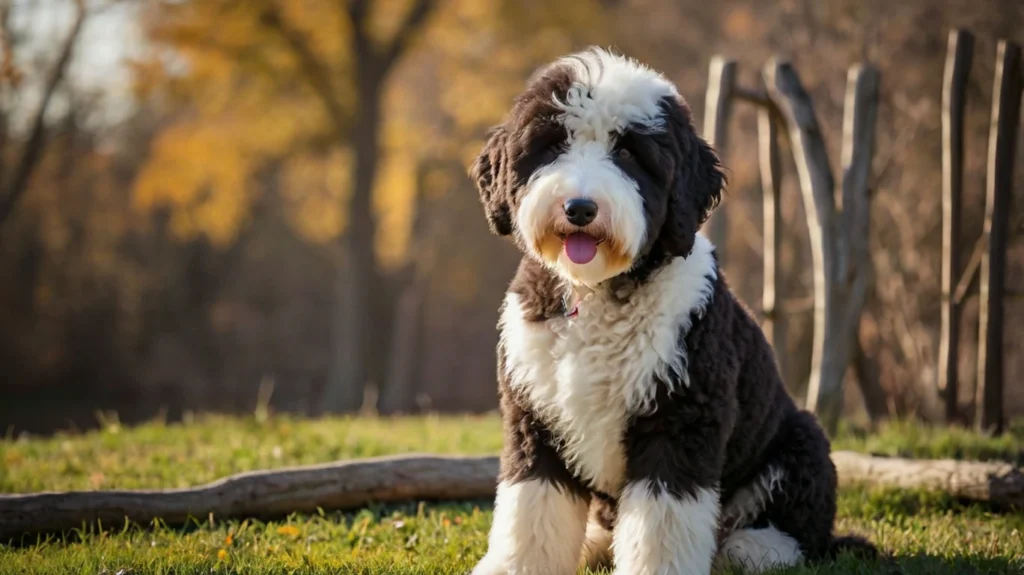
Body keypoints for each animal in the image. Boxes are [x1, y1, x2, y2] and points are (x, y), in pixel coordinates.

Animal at [466, 49, 872, 572]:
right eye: (553, 144)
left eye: (629, 154)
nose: (579, 208)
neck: (595, 292)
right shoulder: (535, 417)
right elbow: (533, 507)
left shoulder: (680, 419)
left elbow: (661, 521)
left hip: (800, 439)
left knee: (799, 524)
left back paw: (754, 547)